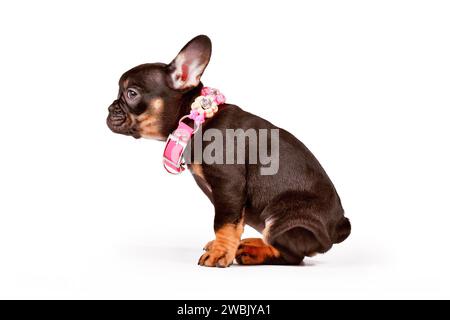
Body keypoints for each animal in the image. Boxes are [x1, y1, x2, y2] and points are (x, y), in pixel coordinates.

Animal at [106, 35, 352, 266]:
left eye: (131, 93)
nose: (109, 108)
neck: (197, 120)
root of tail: (339, 226)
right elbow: (235, 222)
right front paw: (223, 246)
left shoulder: (228, 184)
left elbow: (224, 223)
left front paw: (221, 252)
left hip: (281, 215)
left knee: (292, 254)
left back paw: (254, 252)